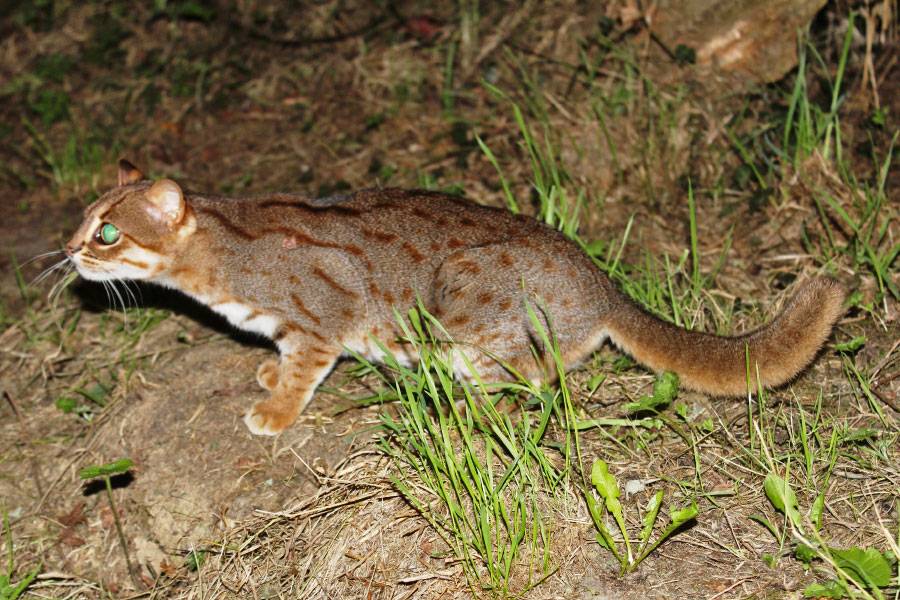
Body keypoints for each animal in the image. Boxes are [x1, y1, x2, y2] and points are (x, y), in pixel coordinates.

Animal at [63, 159, 844, 434]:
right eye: (82, 219)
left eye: (107, 233)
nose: (67, 251)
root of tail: (603, 284)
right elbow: (279, 357)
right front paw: (265, 372)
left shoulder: (322, 320)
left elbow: (303, 369)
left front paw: (277, 409)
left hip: (461, 300)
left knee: (538, 377)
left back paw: (471, 400)